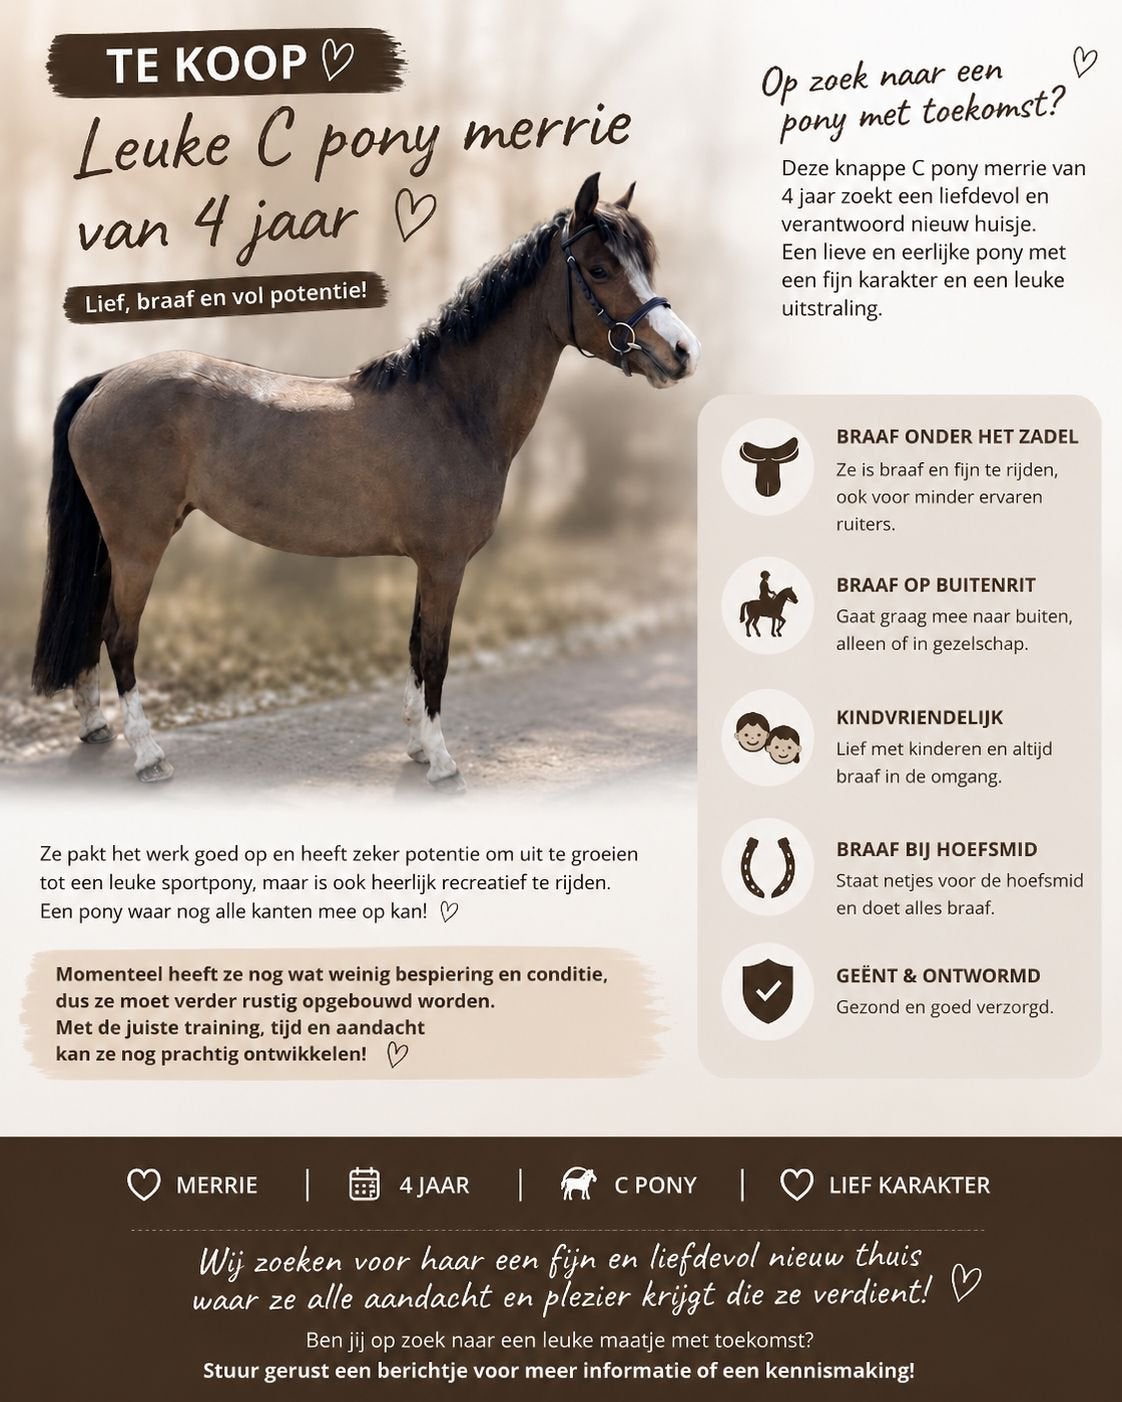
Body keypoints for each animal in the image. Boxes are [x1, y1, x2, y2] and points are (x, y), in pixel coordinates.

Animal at [31, 173, 699, 788]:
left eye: (645, 263)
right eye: (600, 268)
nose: (683, 352)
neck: (451, 406)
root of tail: (107, 380)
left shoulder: (428, 563)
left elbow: (414, 648)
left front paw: (418, 747)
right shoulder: (445, 565)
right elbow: (436, 655)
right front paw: (442, 764)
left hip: (114, 545)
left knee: (92, 628)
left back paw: (95, 727)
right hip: (139, 544)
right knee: (119, 636)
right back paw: (149, 755)